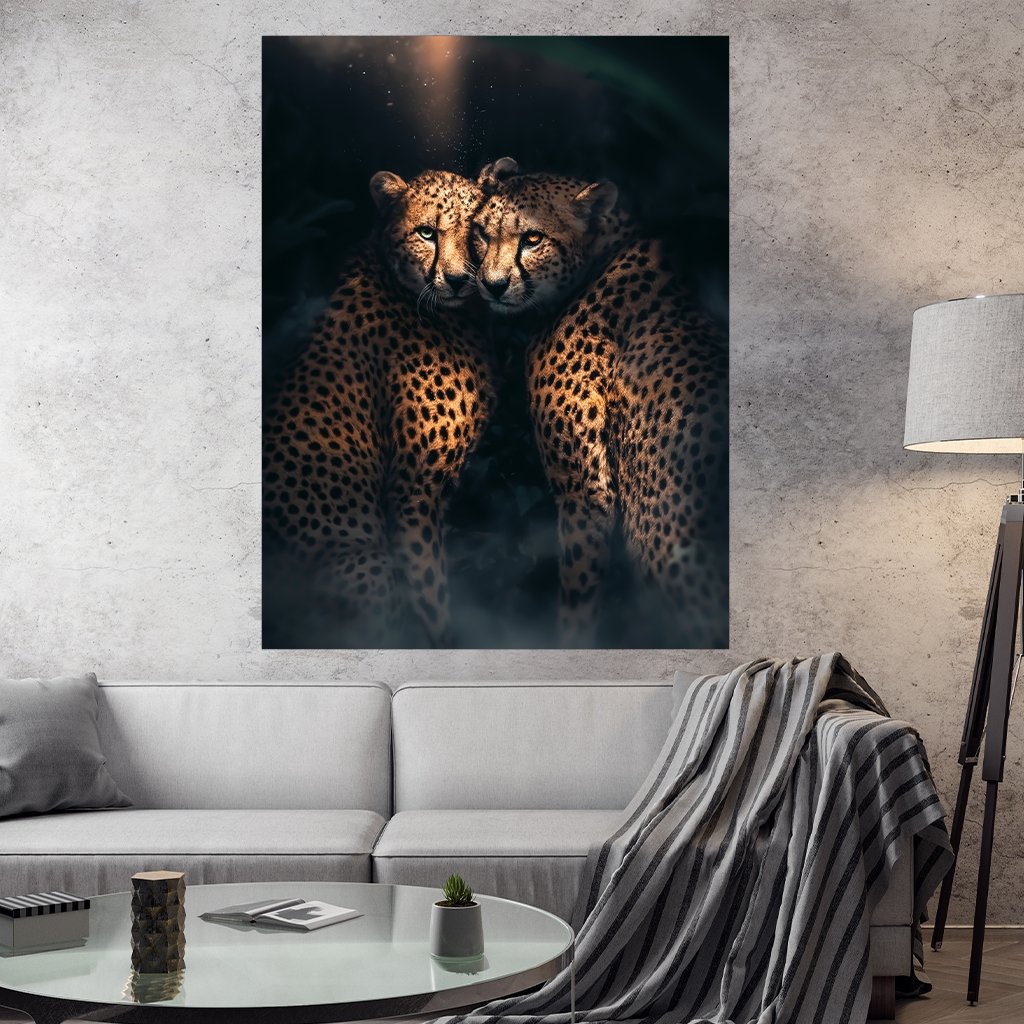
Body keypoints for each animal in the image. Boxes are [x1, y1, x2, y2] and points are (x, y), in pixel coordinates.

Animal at [263, 166, 506, 647]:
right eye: (427, 232)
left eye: (477, 232)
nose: (457, 279)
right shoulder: (414, 492)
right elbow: (430, 596)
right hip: (364, 563)